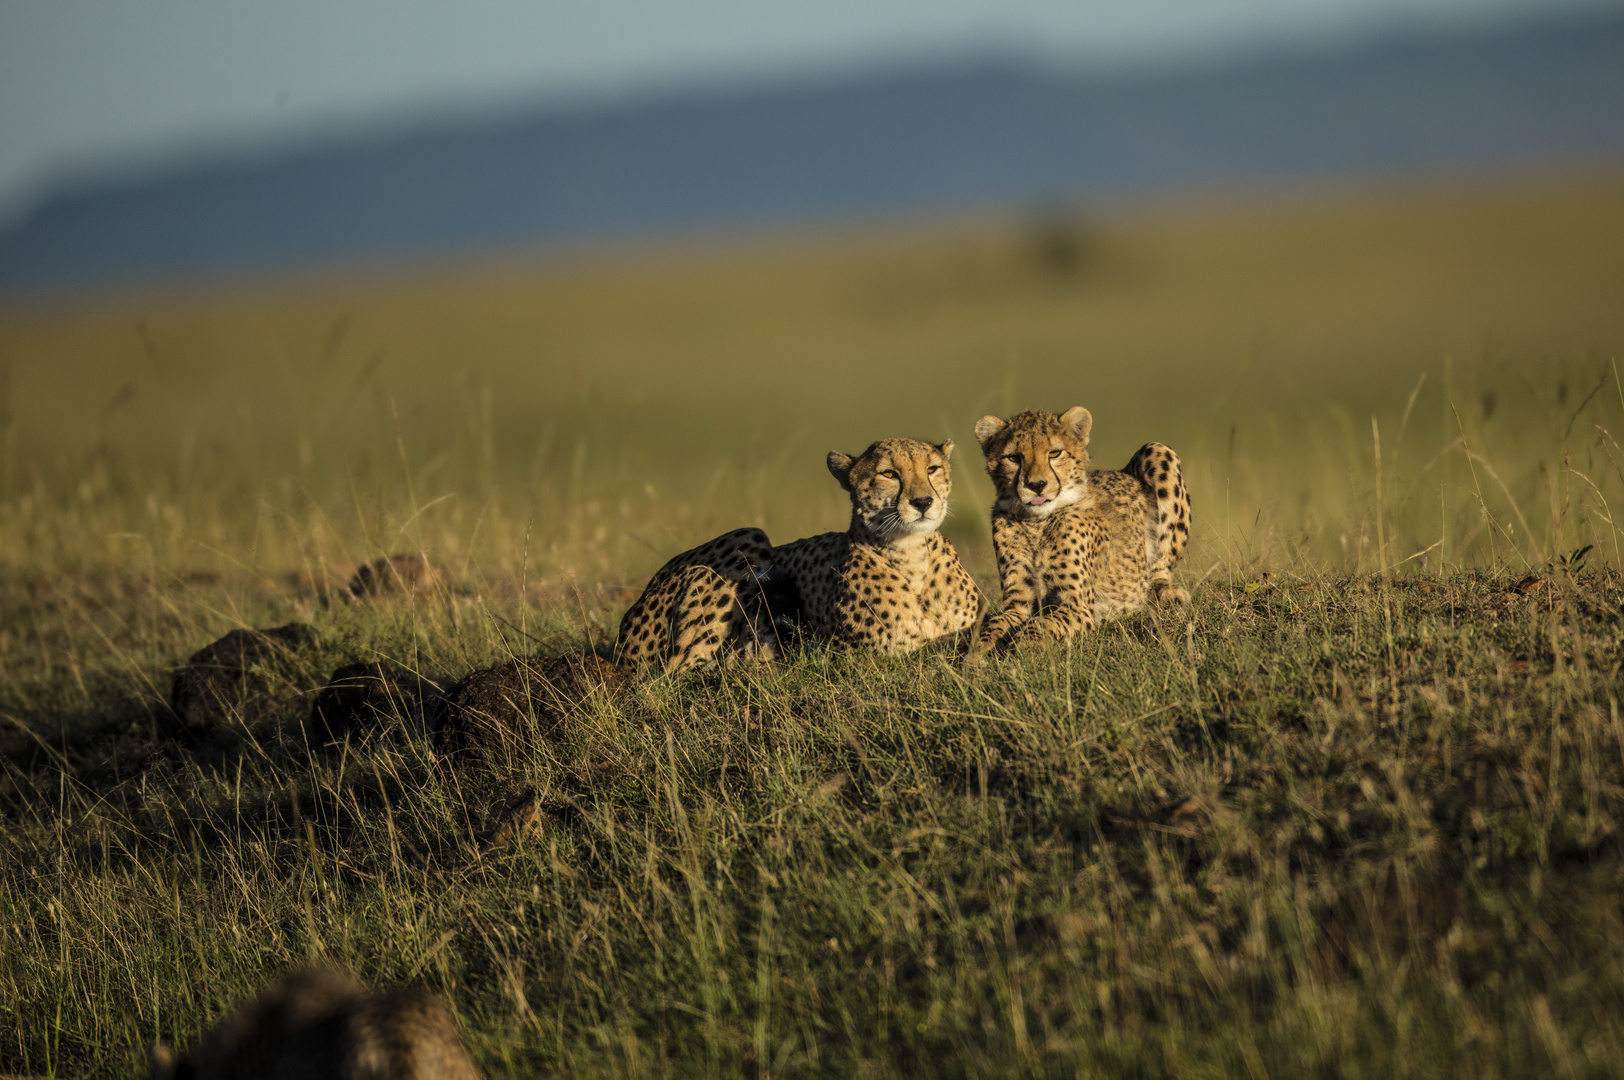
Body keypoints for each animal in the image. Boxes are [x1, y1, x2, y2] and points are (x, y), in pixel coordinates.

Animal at [617, 435, 974, 669]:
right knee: (673, 675)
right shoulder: (850, 654)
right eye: (889, 474)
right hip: (748, 537)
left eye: (932, 469)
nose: (923, 501)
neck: (911, 554)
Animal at [967, 406, 1188, 652]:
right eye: (1014, 458)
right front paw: (977, 653)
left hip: (1158, 450)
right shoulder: (1018, 605)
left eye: (1054, 453)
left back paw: (1165, 594)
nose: (1036, 485)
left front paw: (1024, 647)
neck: (1036, 522)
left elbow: (1040, 624)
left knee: (1159, 570)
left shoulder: (1079, 606)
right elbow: (994, 625)